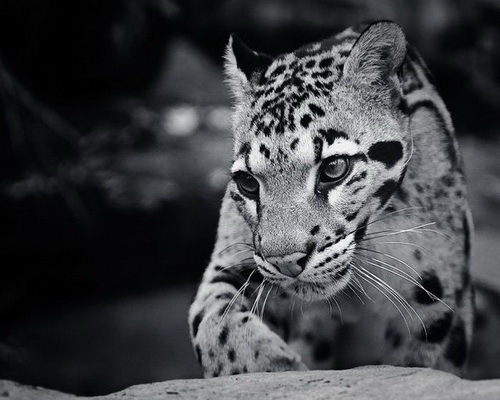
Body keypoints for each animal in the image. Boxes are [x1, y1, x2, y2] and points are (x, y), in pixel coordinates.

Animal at [188, 21, 474, 378]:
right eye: (248, 183)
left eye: (334, 168)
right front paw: (265, 365)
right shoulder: (238, 259)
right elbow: (210, 316)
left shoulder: (439, 302)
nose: (285, 262)